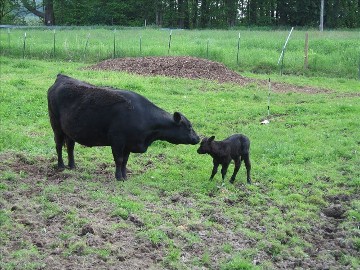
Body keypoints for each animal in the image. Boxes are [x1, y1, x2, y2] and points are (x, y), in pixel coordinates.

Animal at [47, 74, 200, 180]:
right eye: (188, 126)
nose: (198, 138)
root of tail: (62, 77)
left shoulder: (128, 144)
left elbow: (125, 161)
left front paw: (125, 176)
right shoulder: (118, 141)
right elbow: (119, 160)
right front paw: (118, 177)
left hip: (70, 131)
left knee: (70, 147)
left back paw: (72, 166)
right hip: (56, 127)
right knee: (59, 146)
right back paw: (61, 165)